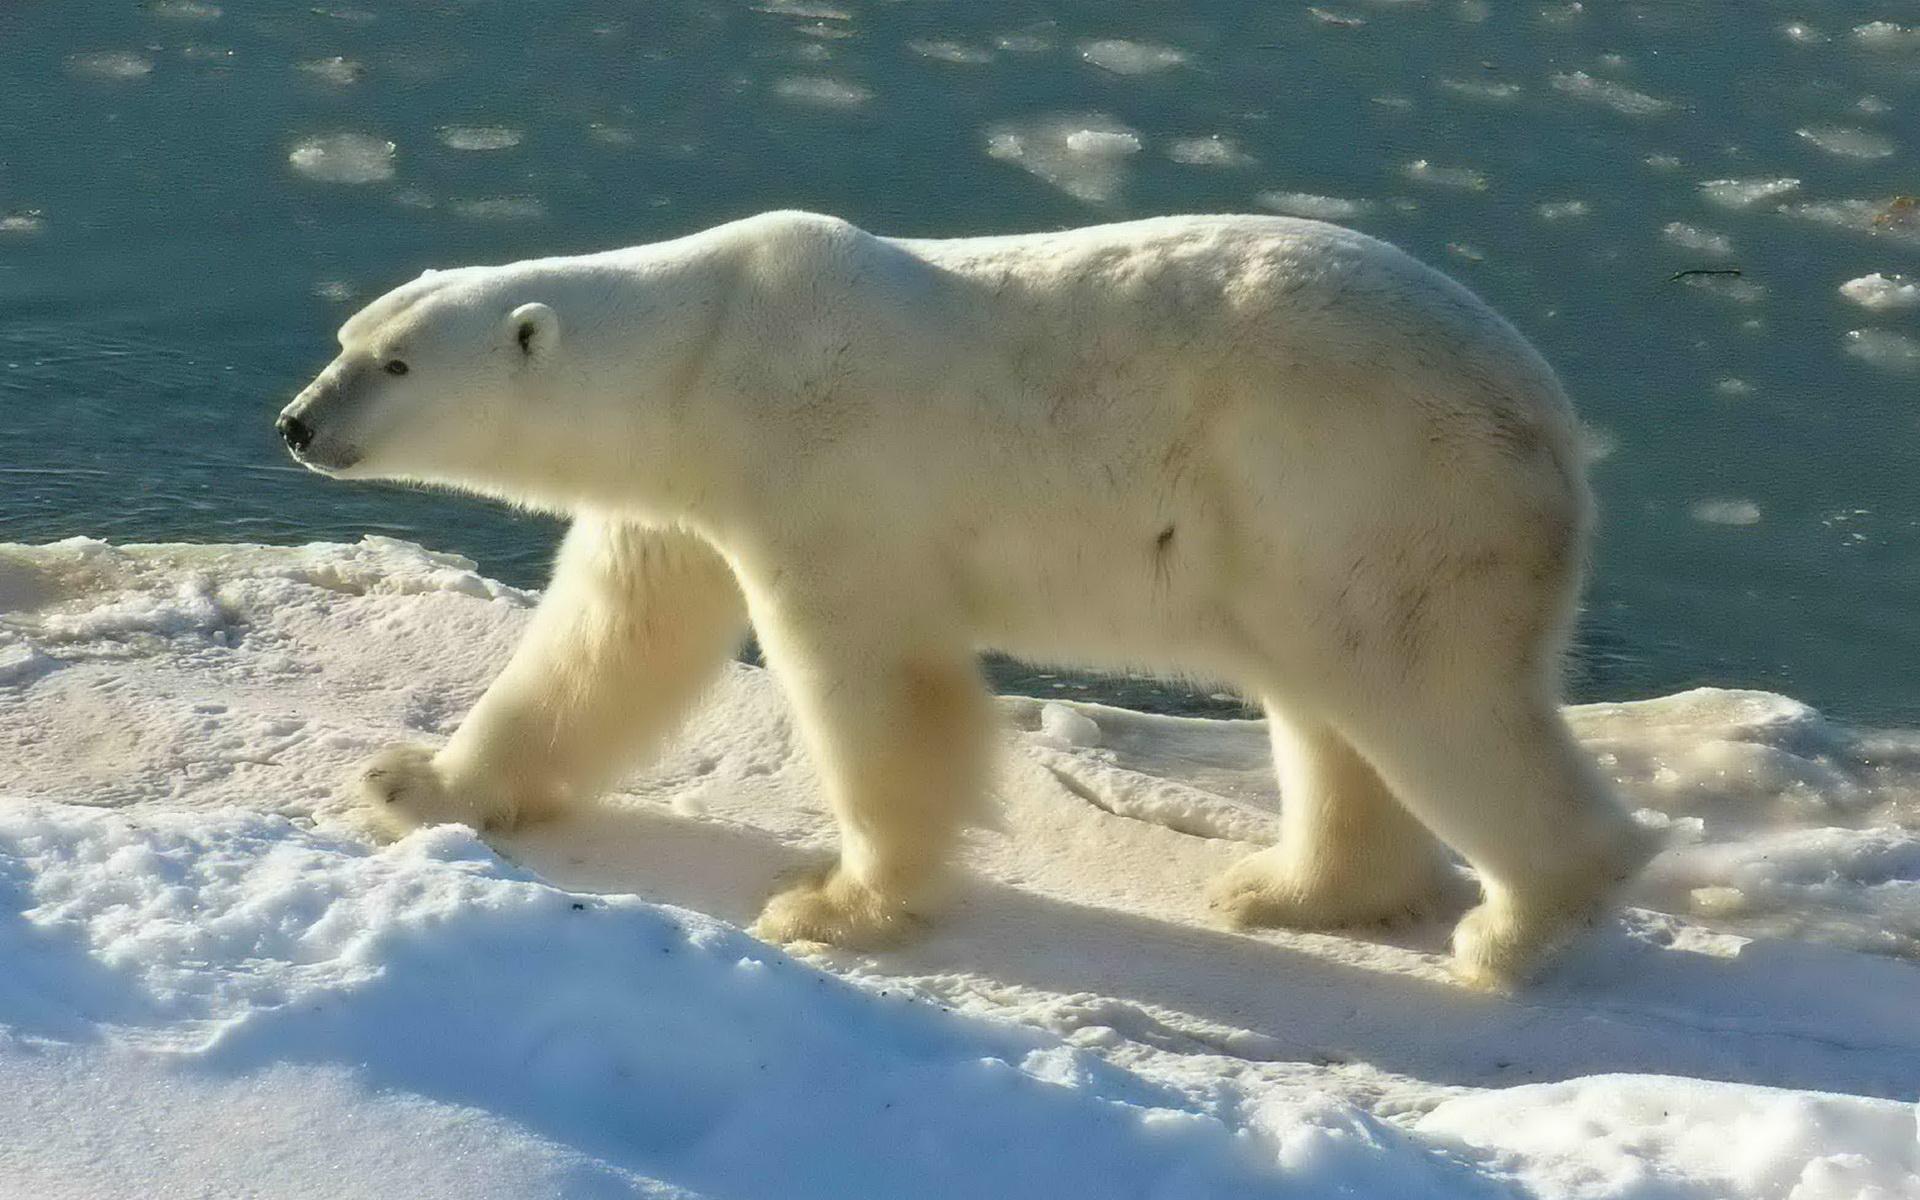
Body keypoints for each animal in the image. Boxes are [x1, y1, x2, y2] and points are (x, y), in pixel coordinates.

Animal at [280, 213, 1651, 983]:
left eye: (394, 365)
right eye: (345, 337)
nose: (296, 423)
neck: (705, 349)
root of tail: (1557, 421)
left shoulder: (820, 466)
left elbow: (875, 680)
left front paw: (836, 905)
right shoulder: (680, 498)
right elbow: (607, 640)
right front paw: (415, 783)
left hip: (1377, 489)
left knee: (1425, 691)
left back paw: (1520, 927)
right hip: (1305, 532)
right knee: (1326, 701)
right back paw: (1293, 889)